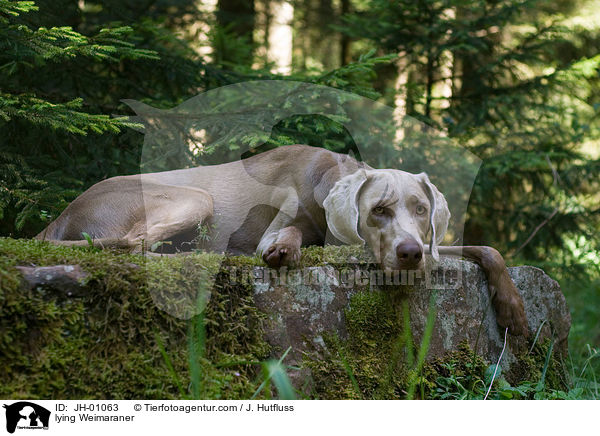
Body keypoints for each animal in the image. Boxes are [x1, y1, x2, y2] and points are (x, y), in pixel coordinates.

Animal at [37, 145, 528, 336]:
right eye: (378, 210)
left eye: (422, 209)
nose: (408, 254)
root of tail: (61, 214)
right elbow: (286, 234)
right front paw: (285, 248)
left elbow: (488, 248)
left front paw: (513, 310)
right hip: (194, 197)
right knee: (135, 244)